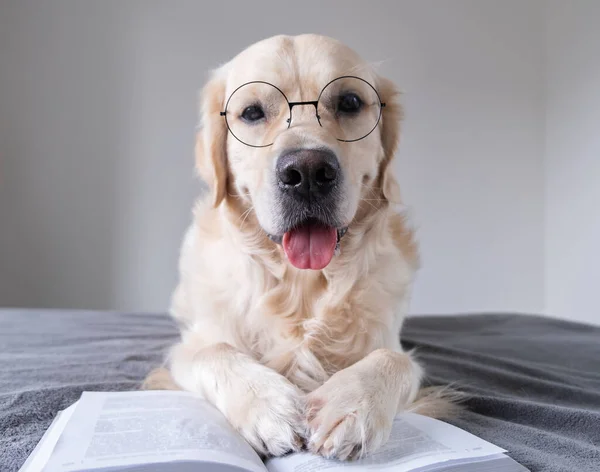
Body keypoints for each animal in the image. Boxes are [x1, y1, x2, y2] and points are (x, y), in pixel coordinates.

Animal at [145, 34, 454, 460]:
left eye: (350, 102)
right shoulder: (190, 347)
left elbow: (394, 359)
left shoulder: (392, 343)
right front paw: (267, 404)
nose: (307, 172)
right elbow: (215, 352)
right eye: (252, 112)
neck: (301, 284)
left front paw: (351, 406)